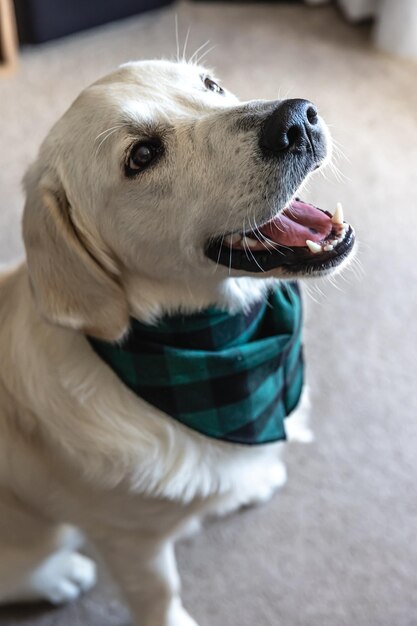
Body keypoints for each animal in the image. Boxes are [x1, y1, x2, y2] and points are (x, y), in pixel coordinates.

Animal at [0, 59, 354, 624]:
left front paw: (251, 481)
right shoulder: (128, 539)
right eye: (142, 156)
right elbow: (159, 592)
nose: (297, 119)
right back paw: (58, 576)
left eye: (210, 85)